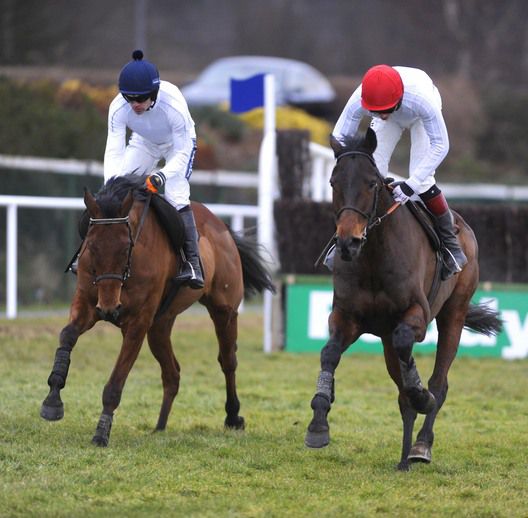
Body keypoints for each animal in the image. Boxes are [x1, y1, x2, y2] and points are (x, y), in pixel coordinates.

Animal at [39, 174, 274, 446]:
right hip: (160, 326)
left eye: (126, 248)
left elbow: (115, 383)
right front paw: (52, 400)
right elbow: (67, 335)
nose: (109, 308)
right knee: (172, 373)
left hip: (224, 311)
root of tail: (223, 227)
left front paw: (101, 433)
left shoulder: (137, 323)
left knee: (228, 361)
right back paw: (160, 427)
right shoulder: (88, 304)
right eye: (92, 247)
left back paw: (233, 417)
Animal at [304, 129, 502, 472]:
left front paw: (422, 397)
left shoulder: (417, 317)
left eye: (372, 183)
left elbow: (408, 353)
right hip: (385, 338)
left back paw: (420, 445)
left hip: (454, 313)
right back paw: (403, 457)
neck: (372, 258)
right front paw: (319, 422)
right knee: (402, 393)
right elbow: (329, 353)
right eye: (333, 182)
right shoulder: (346, 317)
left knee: (439, 382)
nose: (347, 242)